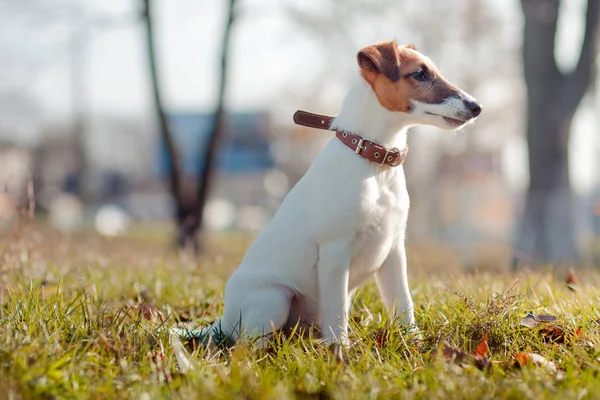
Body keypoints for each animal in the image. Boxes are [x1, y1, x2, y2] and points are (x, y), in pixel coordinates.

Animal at [176, 39, 480, 360]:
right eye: (419, 74)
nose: (477, 107)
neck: (374, 163)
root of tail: (222, 319)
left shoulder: (394, 250)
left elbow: (404, 304)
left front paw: (415, 345)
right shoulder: (335, 252)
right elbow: (338, 310)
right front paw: (340, 352)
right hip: (275, 296)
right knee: (248, 346)